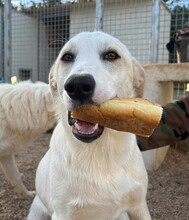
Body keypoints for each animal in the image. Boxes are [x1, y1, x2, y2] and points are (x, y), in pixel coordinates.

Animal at [27, 31, 151, 219]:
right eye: (67, 57)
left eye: (111, 55)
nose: (78, 85)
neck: (100, 153)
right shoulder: (62, 213)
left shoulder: (139, 206)